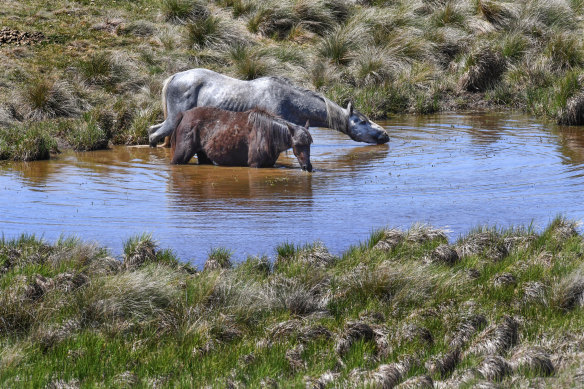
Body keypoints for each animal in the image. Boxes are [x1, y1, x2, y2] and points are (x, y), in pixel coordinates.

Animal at [148, 67, 390, 146]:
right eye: (363, 121)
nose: (386, 134)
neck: (288, 100)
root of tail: (175, 76)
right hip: (173, 120)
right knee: (153, 136)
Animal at [170, 107, 312, 172]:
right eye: (297, 144)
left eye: (309, 144)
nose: (307, 167)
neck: (268, 135)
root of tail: (184, 114)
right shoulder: (254, 164)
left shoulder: (269, 164)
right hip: (181, 154)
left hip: (203, 155)